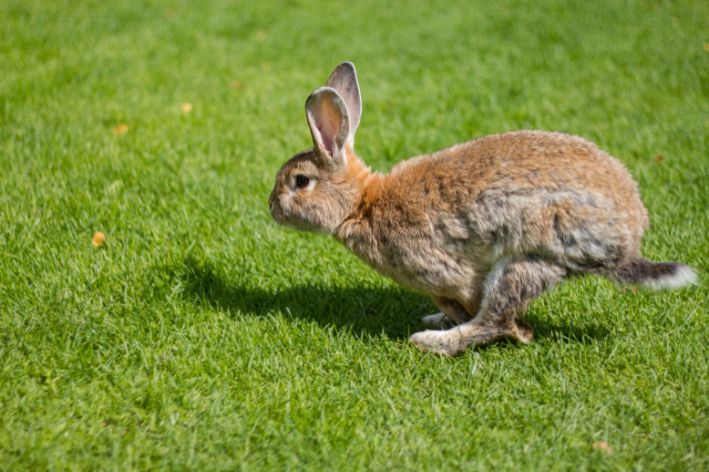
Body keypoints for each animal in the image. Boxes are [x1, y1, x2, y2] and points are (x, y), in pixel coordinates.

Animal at [268, 63, 696, 358]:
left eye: (300, 181)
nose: (271, 207)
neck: (361, 204)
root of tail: (626, 242)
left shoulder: (448, 273)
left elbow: (476, 306)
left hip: (525, 260)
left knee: (497, 319)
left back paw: (432, 340)